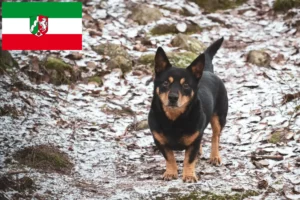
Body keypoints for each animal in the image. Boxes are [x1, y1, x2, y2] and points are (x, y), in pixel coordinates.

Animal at [148, 36, 227, 182]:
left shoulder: (193, 142)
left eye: (185, 85)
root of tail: (207, 71)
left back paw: (214, 156)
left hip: (219, 117)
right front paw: (171, 172)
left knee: (215, 136)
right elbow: (169, 157)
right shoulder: (160, 141)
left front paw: (189, 176)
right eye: (165, 83)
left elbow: (189, 159)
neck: (174, 119)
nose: (173, 97)